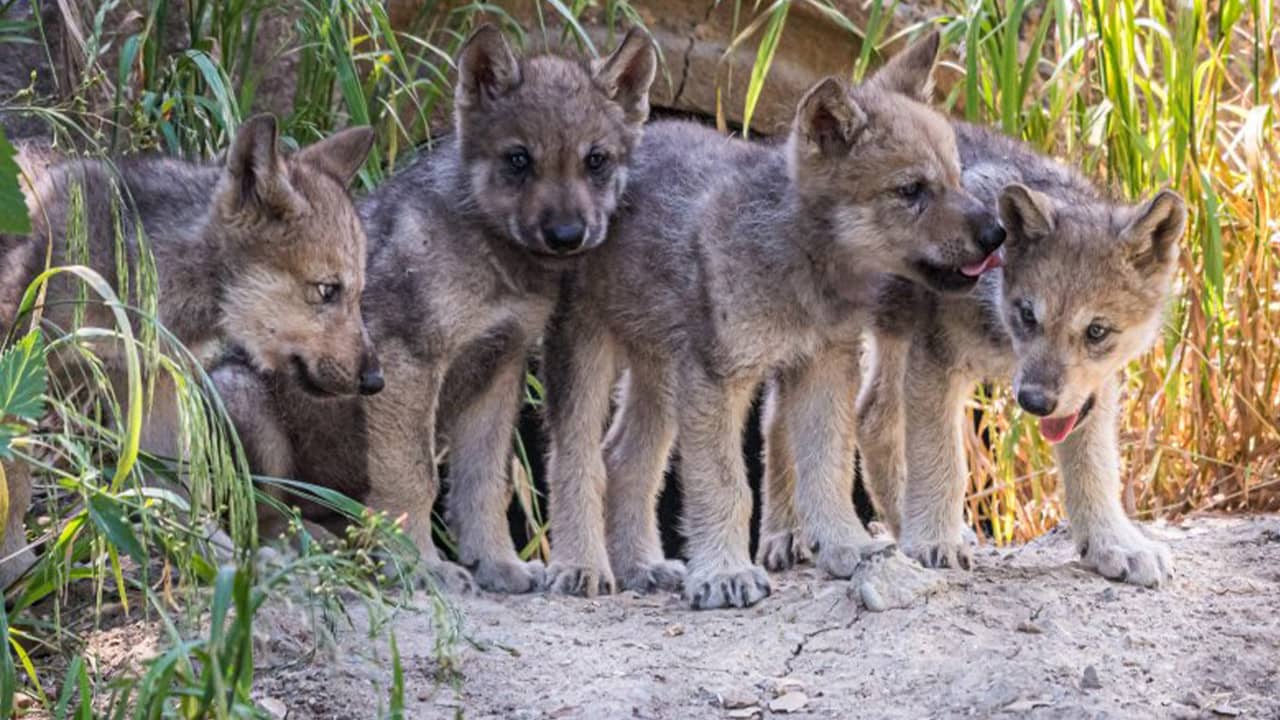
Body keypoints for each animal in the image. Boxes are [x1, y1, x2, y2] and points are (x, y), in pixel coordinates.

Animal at [0, 116, 378, 589]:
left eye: (359, 294)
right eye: (328, 290)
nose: (375, 379)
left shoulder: (151, 401)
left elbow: (180, 500)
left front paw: (225, 563)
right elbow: (14, 487)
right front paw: (14, 571)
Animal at [208, 26, 659, 594]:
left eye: (595, 160)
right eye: (519, 160)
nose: (565, 236)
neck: (492, 260)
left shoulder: (500, 367)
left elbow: (483, 483)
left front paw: (497, 563)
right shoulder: (406, 362)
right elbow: (415, 478)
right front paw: (419, 566)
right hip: (243, 401)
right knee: (259, 513)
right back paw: (317, 546)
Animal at [541, 31, 1007, 610]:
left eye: (956, 178)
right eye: (911, 190)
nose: (996, 234)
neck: (799, 264)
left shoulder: (823, 366)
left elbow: (827, 468)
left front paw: (848, 546)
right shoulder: (718, 379)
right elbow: (727, 486)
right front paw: (725, 573)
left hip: (660, 371)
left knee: (624, 458)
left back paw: (642, 566)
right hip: (588, 353)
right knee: (574, 459)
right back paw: (580, 566)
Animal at [759, 120, 1186, 589]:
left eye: (1097, 331)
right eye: (1028, 315)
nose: (1034, 402)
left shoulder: (1090, 393)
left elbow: (1094, 467)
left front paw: (1115, 544)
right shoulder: (936, 361)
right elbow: (944, 461)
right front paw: (934, 542)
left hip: (892, 339)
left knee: (871, 419)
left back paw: (898, 525)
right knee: (778, 422)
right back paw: (785, 534)